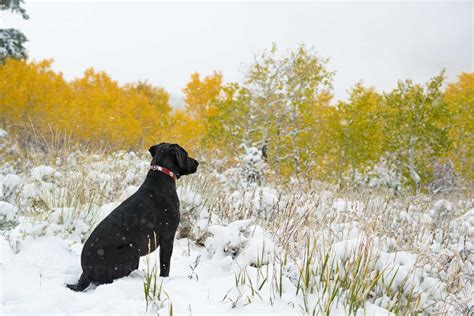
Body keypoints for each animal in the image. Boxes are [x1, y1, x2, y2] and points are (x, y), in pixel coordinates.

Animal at [66, 143, 198, 292]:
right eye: (186, 154)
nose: (197, 163)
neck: (161, 177)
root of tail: (86, 274)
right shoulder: (168, 237)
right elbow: (165, 266)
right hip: (132, 250)